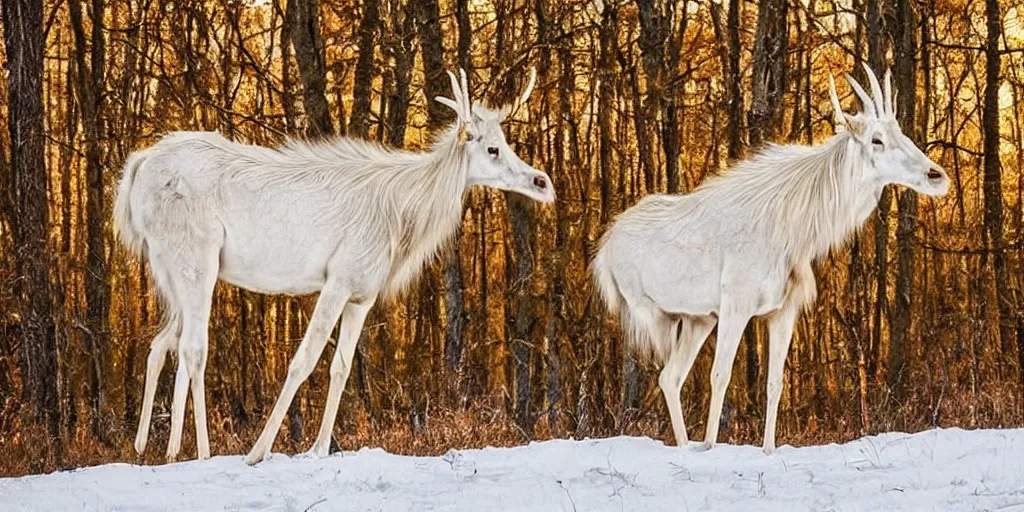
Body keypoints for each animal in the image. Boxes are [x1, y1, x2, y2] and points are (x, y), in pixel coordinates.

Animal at [114, 67, 552, 464]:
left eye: (505, 141)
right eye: (492, 149)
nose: (542, 182)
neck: (403, 222)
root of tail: (137, 167)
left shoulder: (363, 293)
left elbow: (340, 366)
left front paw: (320, 448)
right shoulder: (338, 278)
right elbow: (303, 360)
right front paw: (258, 451)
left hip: (169, 270)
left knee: (161, 343)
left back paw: (156, 447)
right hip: (196, 256)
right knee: (193, 347)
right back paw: (202, 452)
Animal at [593, 66, 950, 454]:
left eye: (900, 132)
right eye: (876, 140)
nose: (937, 175)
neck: (801, 231)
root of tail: (603, 251)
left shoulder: (783, 310)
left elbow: (774, 384)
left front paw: (766, 449)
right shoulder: (735, 305)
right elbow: (721, 376)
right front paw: (710, 447)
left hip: (698, 319)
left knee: (670, 377)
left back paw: (686, 443)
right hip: (657, 314)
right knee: (668, 373)